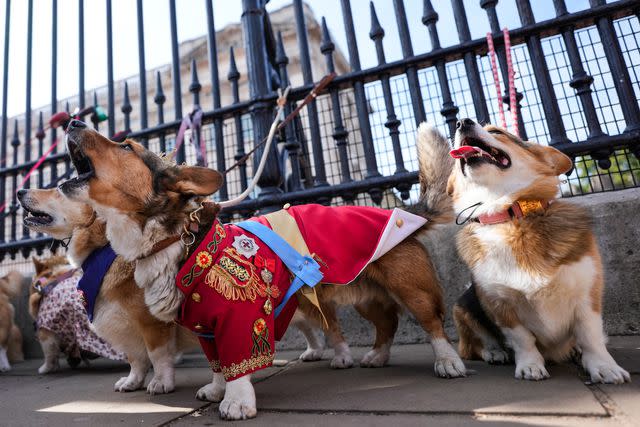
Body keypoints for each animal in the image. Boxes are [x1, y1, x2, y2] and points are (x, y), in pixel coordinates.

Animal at [18, 189, 198, 392]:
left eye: (59, 190)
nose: (19, 192)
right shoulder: (127, 329)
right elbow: (136, 359)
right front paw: (132, 382)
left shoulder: (153, 323)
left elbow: (158, 356)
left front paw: (161, 382)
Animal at [56, 119, 464, 422]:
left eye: (126, 147)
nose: (72, 120)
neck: (175, 239)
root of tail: (404, 211)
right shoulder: (205, 327)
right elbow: (218, 363)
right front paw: (217, 389)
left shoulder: (240, 317)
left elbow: (236, 361)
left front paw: (236, 401)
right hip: (366, 294)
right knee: (387, 323)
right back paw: (377, 356)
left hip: (411, 288)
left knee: (432, 323)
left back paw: (448, 362)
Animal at [440, 118, 632, 384]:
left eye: (497, 131)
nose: (461, 121)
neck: (509, 215)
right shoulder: (500, 305)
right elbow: (522, 339)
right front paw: (530, 366)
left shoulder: (587, 295)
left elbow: (590, 336)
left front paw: (604, 367)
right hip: (463, 307)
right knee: (474, 346)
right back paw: (495, 352)